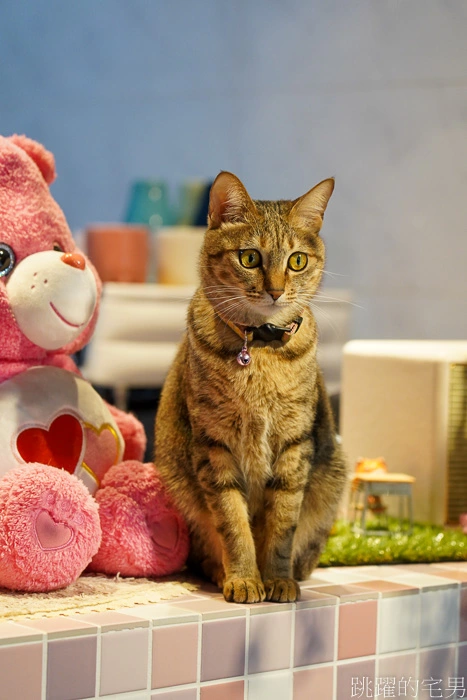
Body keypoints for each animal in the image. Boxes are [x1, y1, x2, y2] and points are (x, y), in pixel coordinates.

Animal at [155, 172, 350, 604]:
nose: (275, 291)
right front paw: (244, 578)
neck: (259, 352)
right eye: (249, 258)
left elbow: (281, 527)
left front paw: (277, 579)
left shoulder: (294, 444)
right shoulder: (214, 446)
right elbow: (233, 524)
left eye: (297, 260)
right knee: (205, 550)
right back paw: (218, 572)